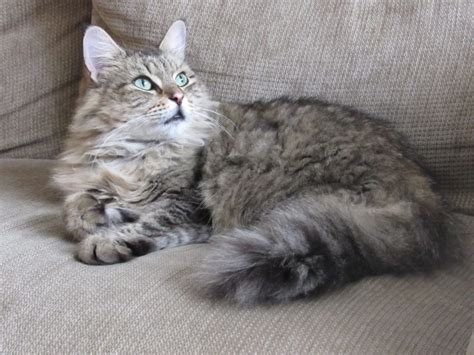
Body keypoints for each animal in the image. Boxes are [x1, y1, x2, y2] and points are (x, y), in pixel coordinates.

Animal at [53, 20, 458, 304]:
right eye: (144, 83)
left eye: (182, 78)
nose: (178, 97)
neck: (139, 151)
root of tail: (426, 202)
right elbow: (79, 204)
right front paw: (95, 214)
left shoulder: (192, 206)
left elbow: (150, 222)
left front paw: (104, 238)